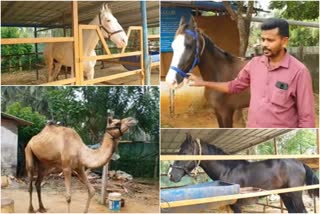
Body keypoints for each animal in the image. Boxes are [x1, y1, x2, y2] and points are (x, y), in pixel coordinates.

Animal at [169, 134, 318, 212]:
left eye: (184, 153)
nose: (171, 175)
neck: (227, 170)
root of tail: (300, 163)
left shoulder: (237, 205)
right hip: (285, 195)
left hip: (295, 195)